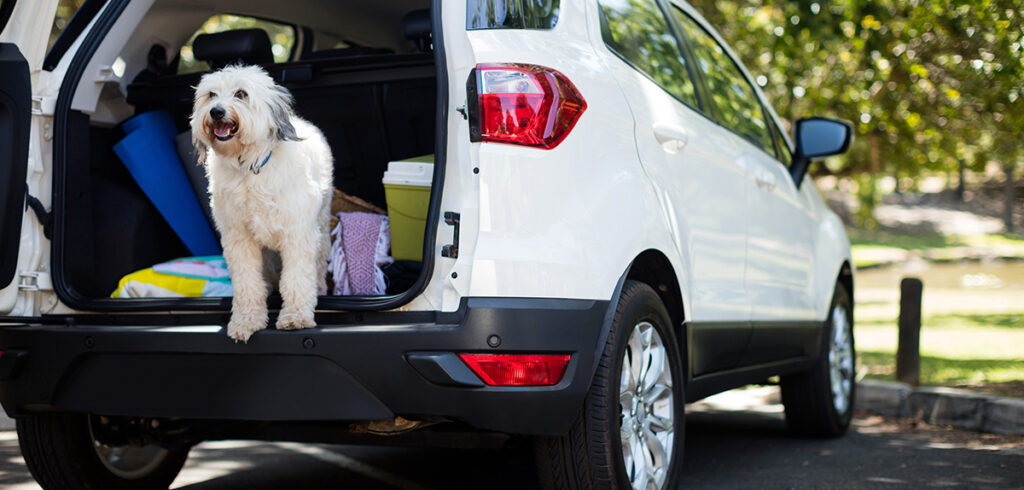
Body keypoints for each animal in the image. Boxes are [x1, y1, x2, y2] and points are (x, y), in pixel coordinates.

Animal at [191, 64, 331, 341]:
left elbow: (297, 279)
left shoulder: (297, 234)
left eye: (241, 94)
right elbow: (247, 283)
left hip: (321, 224)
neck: (249, 167)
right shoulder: (239, 239)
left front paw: (295, 316)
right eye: (211, 95)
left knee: (319, 263)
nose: (216, 111)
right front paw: (247, 320)